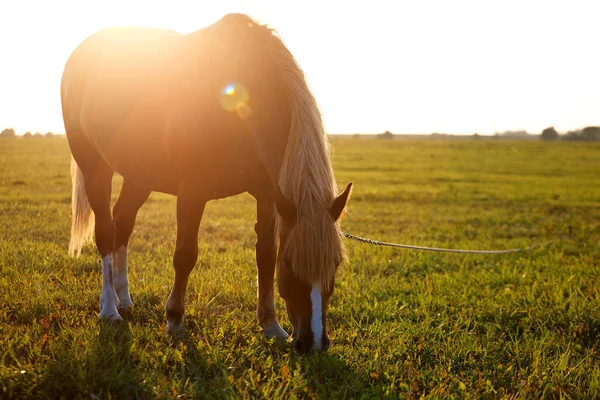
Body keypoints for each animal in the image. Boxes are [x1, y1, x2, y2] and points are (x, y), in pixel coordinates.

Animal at [61, 12, 352, 352]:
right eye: (292, 264)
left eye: (336, 264)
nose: (315, 342)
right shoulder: (192, 192)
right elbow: (185, 255)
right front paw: (174, 319)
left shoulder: (268, 195)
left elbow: (265, 255)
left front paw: (270, 324)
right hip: (95, 165)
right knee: (106, 231)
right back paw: (109, 308)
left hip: (139, 175)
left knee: (123, 222)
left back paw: (125, 298)